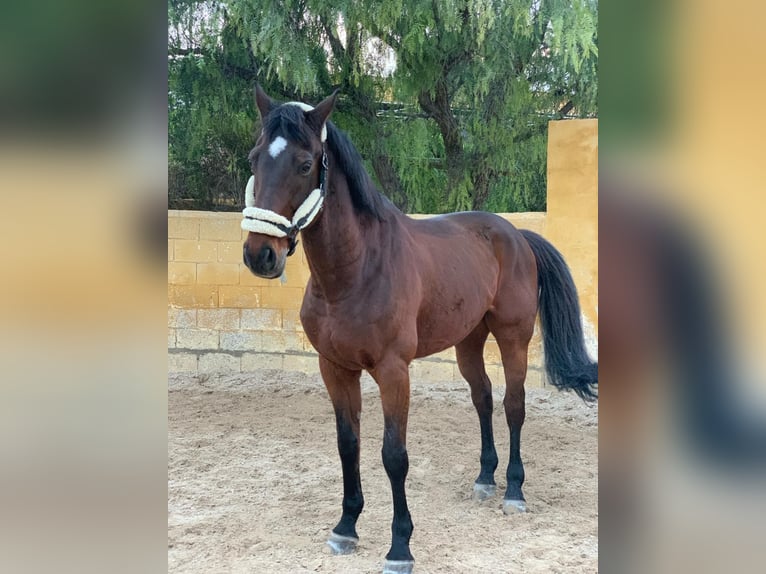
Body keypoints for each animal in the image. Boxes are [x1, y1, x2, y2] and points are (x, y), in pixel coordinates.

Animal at [243, 86, 596, 574]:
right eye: (254, 158)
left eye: (304, 162)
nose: (260, 254)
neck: (354, 272)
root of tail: (515, 235)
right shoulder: (334, 368)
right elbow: (348, 444)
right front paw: (346, 527)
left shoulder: (394, 372)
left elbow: (394, 456)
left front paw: (399, 546)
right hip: (468, 342)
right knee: (483, 399)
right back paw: (485, 478)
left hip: (513, 339)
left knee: (513, 406)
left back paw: (513, 490)